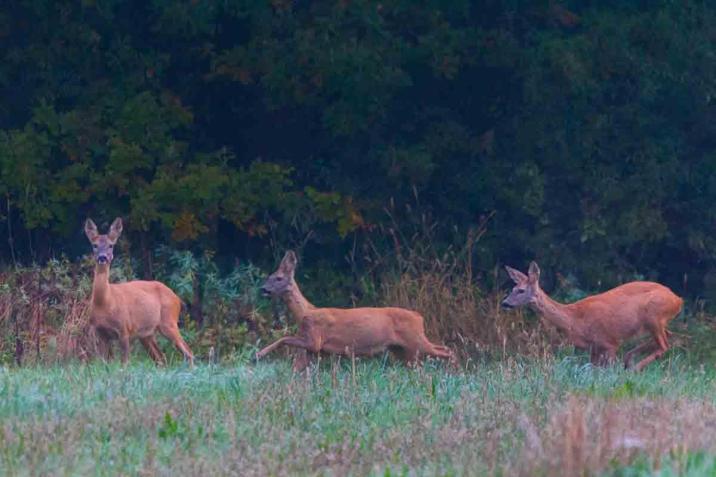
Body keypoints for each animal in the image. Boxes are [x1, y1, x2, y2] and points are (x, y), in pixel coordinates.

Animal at [84, 218, 194, 366]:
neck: (105, 302)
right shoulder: (100, 333)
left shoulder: (124, 329)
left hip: (169, 321)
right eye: (94, 245)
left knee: (188, 352)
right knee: (161, 358)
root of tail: (177, 298)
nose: (102, 257)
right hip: (147, 334)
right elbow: (104, 364)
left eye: (111, 245)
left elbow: (124, 363)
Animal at [255, 251, 454, 370]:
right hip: (401, 349)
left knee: (446, 350)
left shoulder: (315, 340)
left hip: (415, 340)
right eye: (269, 277)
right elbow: (297, 367)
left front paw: (258, 354)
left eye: (279, 278)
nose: (263, 289)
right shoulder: (312, 349)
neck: (305, 313)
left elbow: (284, 339)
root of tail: (419, 317)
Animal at [500, 262, 684, 370]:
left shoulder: (609, 342)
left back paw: (633, 367)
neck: (574, 320)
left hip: (653, 314)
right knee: (668, 337)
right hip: (655, 322)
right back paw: (629, 359)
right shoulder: (594, 348)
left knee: (664, 345)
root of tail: (678, 299)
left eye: (521, 290)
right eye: (512, 289)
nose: (505, 303)